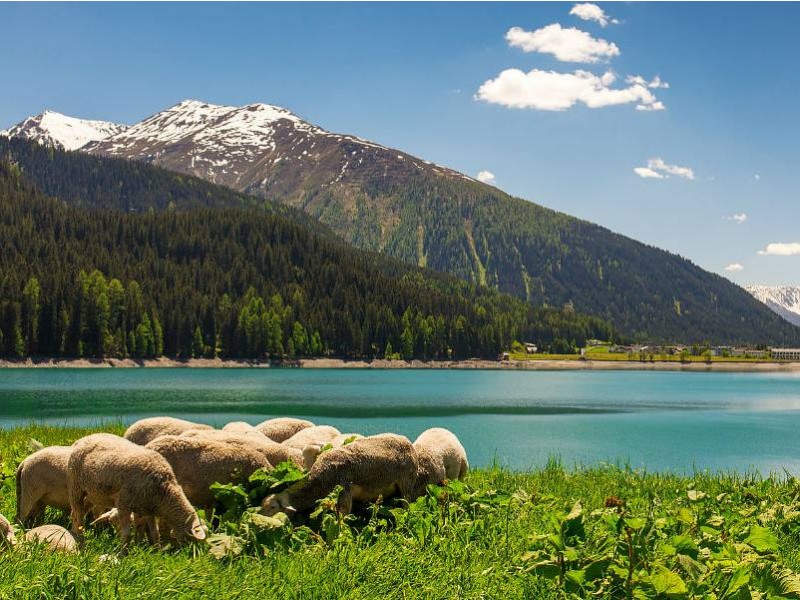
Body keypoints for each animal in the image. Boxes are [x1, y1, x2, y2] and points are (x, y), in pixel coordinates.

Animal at [67, 432, 205, 544]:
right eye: (192, 539)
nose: (189, 554)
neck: (164, 492)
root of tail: (83, 438)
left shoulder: (146, 508)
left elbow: (154, 533)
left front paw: (152, 550)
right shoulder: (123, 503)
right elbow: (127, 534)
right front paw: (123, 553)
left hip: (92, 494)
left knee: (79, 512)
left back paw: (76, 533)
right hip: (76, 488)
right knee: (77, 514)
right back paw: (80, 538)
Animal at [260, 434, 418, 516]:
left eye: (272, 508)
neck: (319, 482)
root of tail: (405, 440)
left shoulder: (344, 493)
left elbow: (342, 517)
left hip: (407, 483)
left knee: (406, 504)